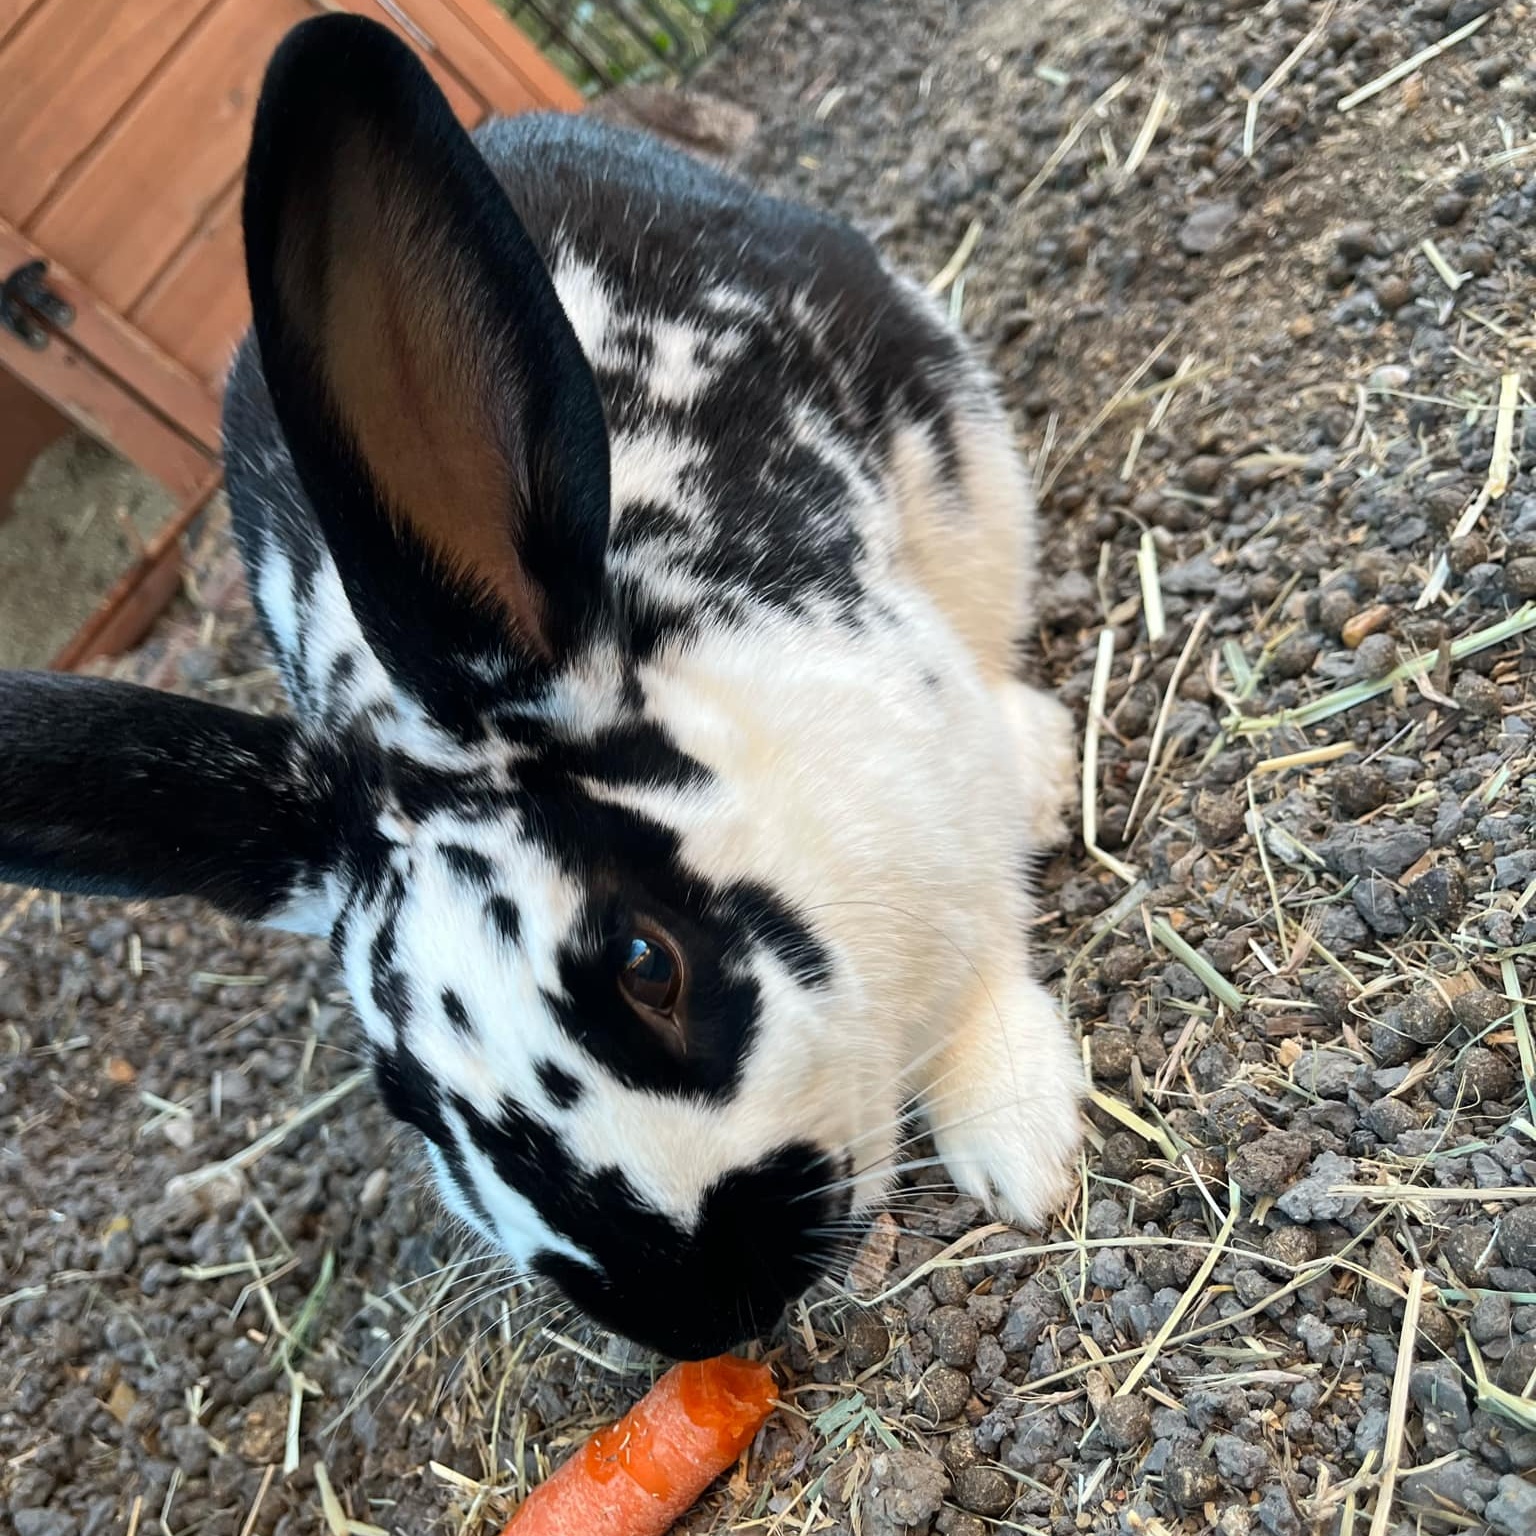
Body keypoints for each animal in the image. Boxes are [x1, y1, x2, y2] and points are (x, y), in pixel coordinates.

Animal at [0, 14, 1083, 1360]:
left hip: (960, 452)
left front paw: (1023, 1156)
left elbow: (983, 974)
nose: (701, 1308)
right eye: (411, 1106)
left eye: (648, 962)